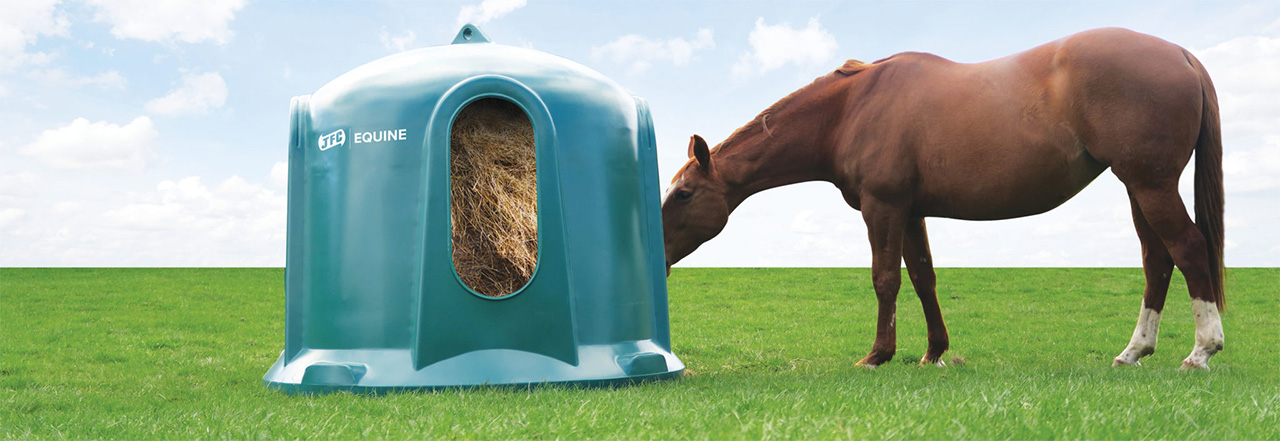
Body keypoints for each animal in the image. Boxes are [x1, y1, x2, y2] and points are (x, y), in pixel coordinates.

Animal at [660, 28, 1224, 370]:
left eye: (684, 193)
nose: (657, 257)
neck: (850, 109)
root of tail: (1180, 54)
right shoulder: (911, 212)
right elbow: (923, 278)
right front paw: (933, 353)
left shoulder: (883, 207)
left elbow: (886, 280)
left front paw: (877, 355)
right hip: (1137, 187)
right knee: (1158, 261)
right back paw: (1134, 351)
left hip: (1150, 185)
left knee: (1189, 249)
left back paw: (1201, 350)